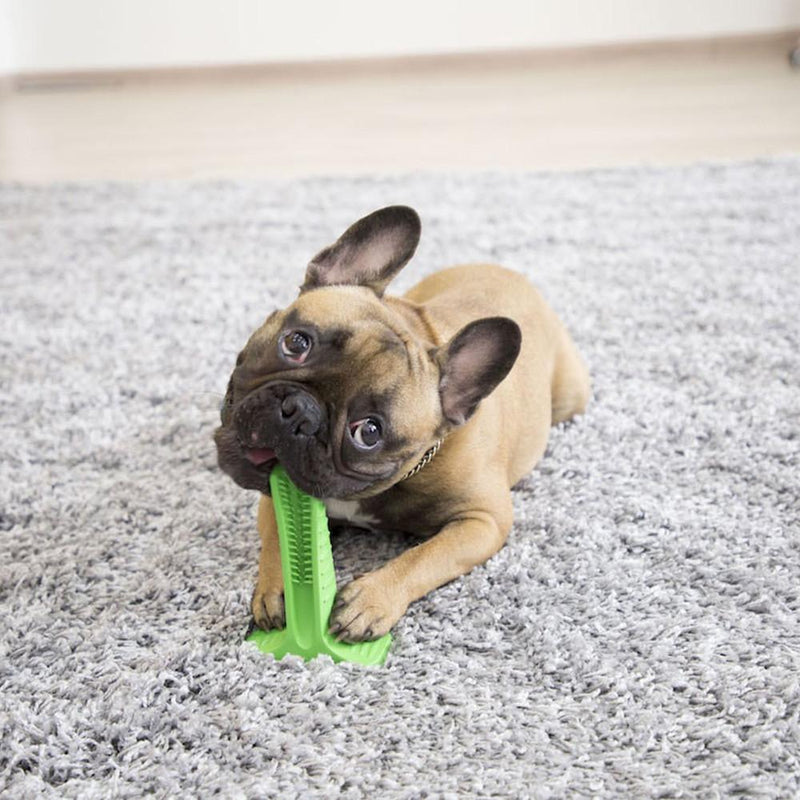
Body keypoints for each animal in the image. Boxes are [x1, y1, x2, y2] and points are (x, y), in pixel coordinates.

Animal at [216, 206, 592, 644]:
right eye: (296, 343)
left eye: (369, 432)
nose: (299, 410)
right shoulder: (271, 492)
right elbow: (278, 533)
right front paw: (276, 589)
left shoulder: (483, 521)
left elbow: (426, 557)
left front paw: (370, 600)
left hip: (571, 397)